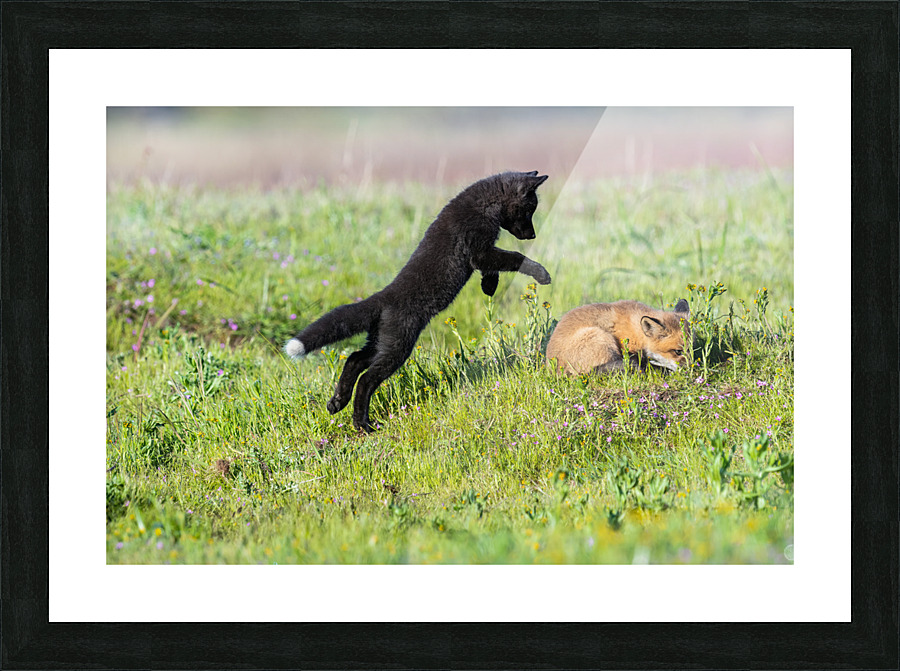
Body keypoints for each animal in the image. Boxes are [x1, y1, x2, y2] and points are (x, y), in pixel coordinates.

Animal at [285, 171, 552, 432]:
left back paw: (337, 403)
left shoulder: (484, 253)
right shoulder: (479, 250)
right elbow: (516, 258)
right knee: (366, 379)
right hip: (398, 347)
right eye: (529, 210)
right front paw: (542, 274)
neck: (483, 205)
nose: (533, 235)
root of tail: (383, 298)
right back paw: (362, 425)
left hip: (382, 341)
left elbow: (493, 270)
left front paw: (489, 287)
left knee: (353, 359)